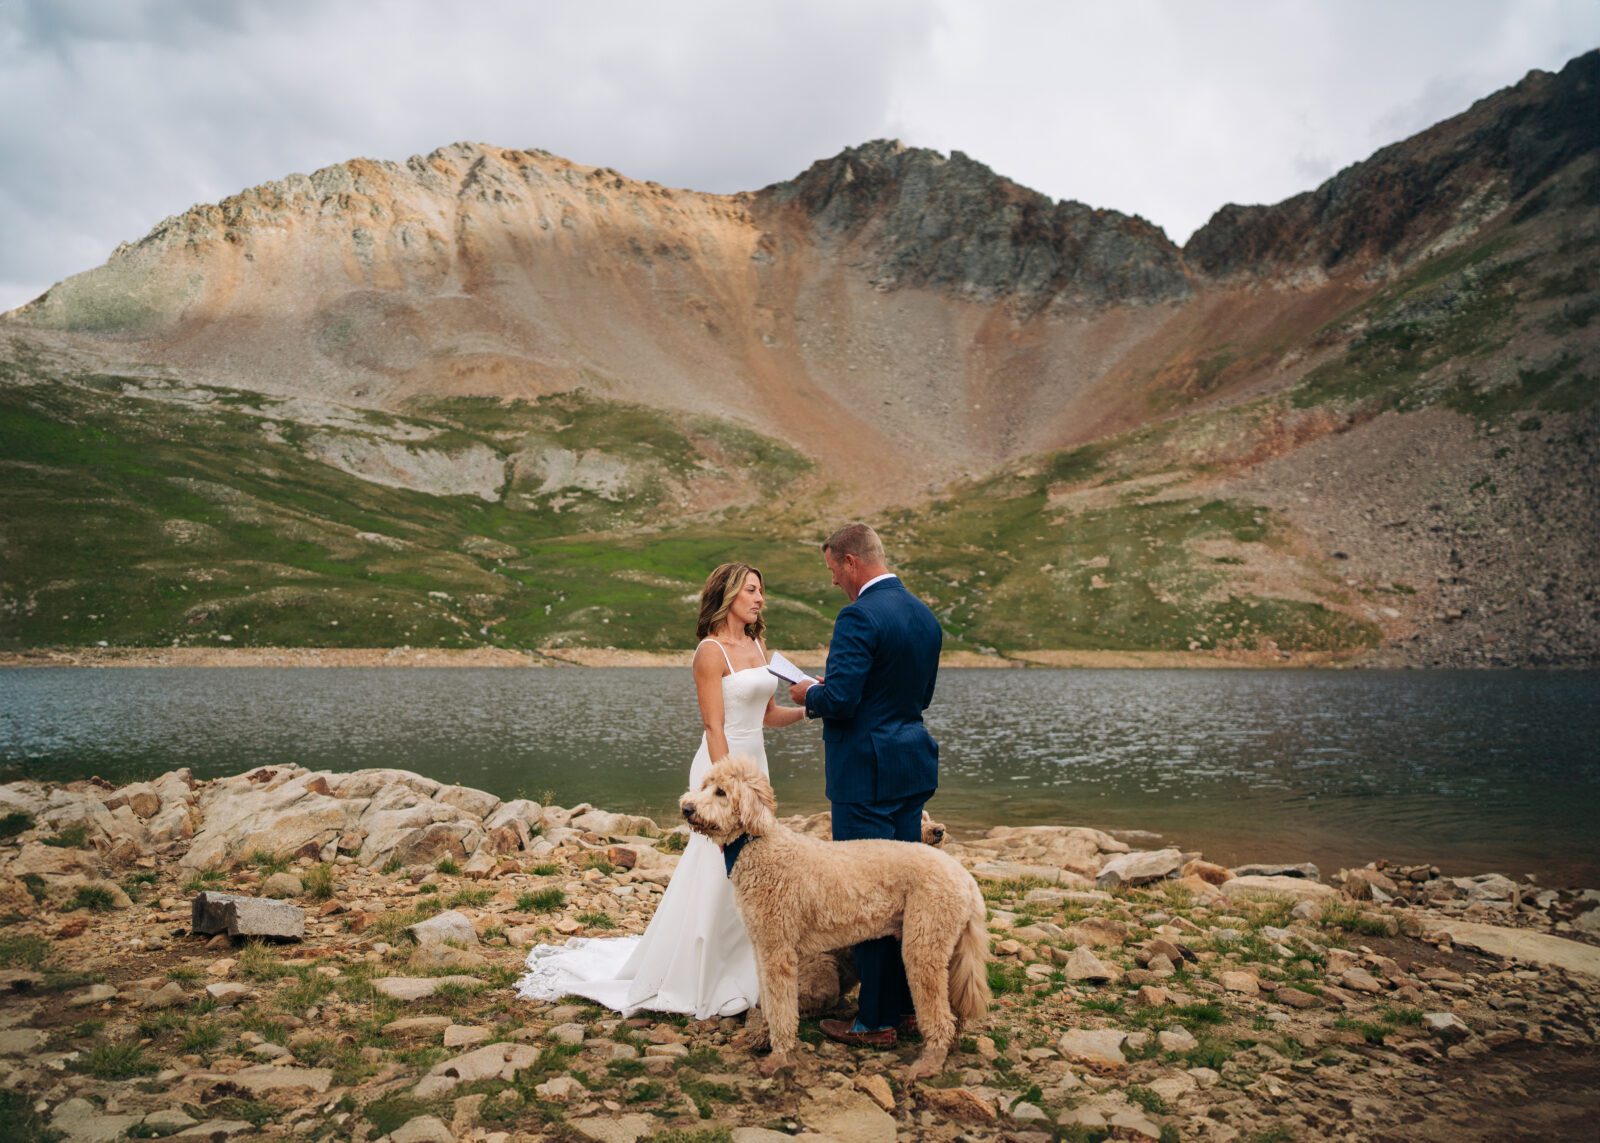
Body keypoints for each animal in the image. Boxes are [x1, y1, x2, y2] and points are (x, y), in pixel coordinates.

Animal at [684, 755, 992, 1069]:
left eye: (721, 792)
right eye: (705, 786)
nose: (687, 808)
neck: (758, 844)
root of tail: (964, 876)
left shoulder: (778, 950)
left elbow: (781, 1006)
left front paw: (779, 1055)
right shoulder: (763, 947)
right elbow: (770, 1002)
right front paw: (763, 1038)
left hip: (924, 944)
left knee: (940, 1013)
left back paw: (929, 1062)